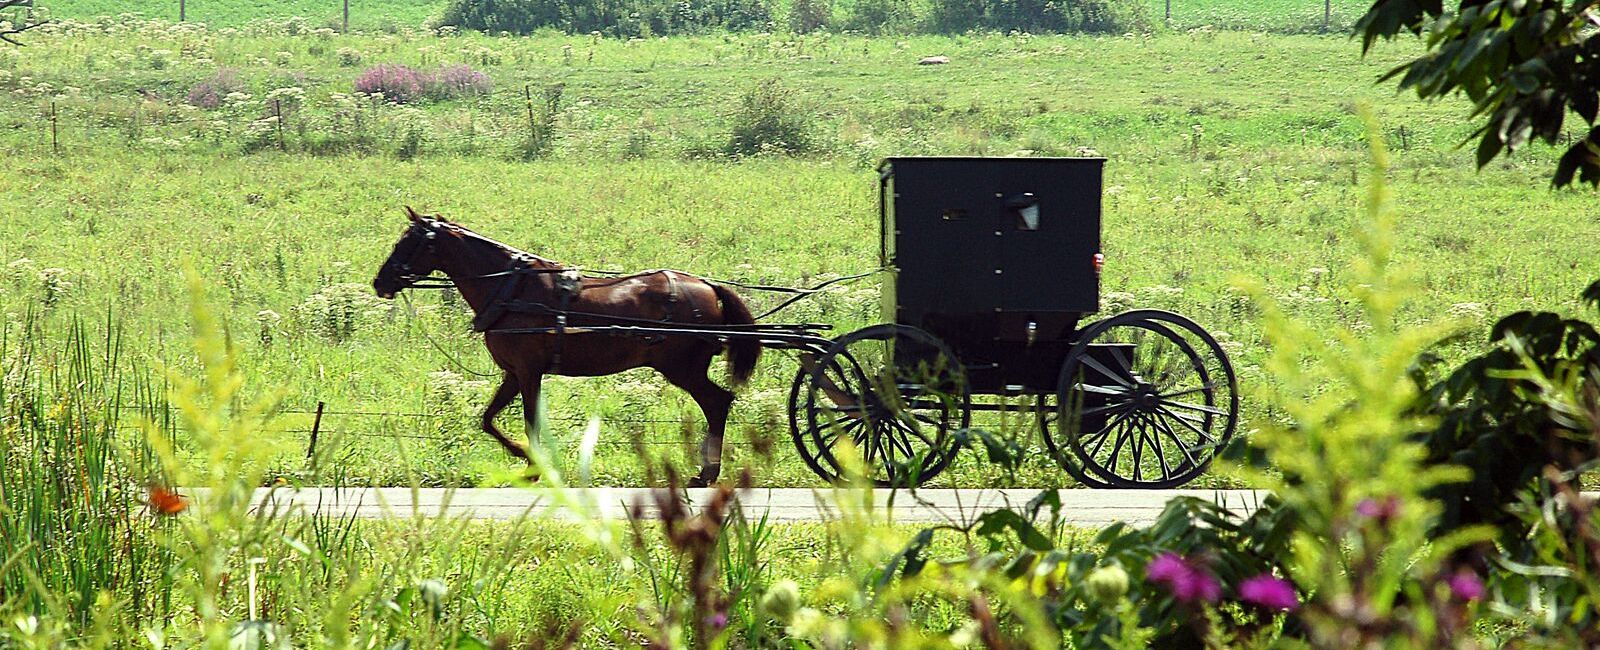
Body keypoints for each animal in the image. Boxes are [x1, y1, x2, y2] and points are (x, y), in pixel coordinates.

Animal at [371, 204, 758, 483]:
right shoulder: (514, 373)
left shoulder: (529, 372)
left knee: (717, 403)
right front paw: (523, 456)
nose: (380, 281)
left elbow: (530, 420)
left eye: (408, 242)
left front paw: (533, 465)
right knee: (718, 403)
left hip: (682, 368)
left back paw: (707, 472)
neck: (512, 289)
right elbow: (488, 419)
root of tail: (708, 286)